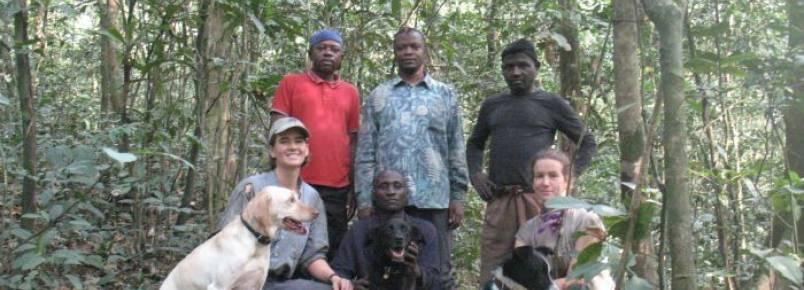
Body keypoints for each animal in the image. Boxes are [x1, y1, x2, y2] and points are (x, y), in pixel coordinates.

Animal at [159, 186, 318, 290]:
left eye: (297, 197)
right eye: (291, 200)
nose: (317, 213)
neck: (255, 242)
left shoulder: (255, 284)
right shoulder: (219, 286)